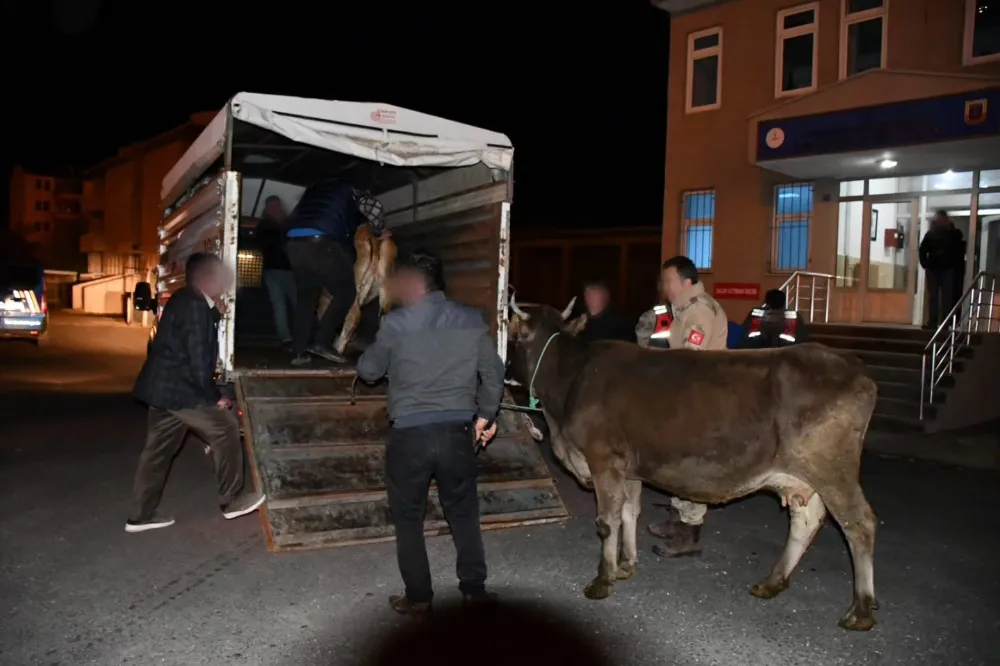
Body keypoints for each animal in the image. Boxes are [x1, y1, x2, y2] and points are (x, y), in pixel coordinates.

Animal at [512, 294, 880, 628]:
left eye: (517, 336)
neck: (569, 384)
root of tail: (853, 366)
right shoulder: (629, 469)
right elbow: (630, 513)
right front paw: (626, 565)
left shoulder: (604, 460)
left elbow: (607, 522)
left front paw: (602, 580)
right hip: (804, 474)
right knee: (806, 520)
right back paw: (773, 582)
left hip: (832, 468)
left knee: (859, 524)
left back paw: (860, 610)